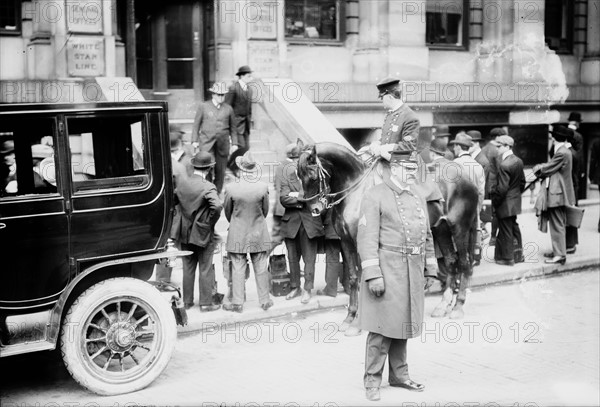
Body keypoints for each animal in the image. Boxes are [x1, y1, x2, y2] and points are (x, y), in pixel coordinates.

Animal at [298, 140, 480, 332]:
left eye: (313, 176)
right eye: (299, 176)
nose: (314, 209)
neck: (356, 191)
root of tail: (468, 178)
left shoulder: (363, 242)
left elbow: (364, 277)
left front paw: (358, 323)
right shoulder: (346, 242)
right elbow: (354, 278)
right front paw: (349, 317)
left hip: (459, 229)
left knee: (464, 263)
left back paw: (458, 306)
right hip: (441, 229)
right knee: (452, 261)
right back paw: (443, 305)